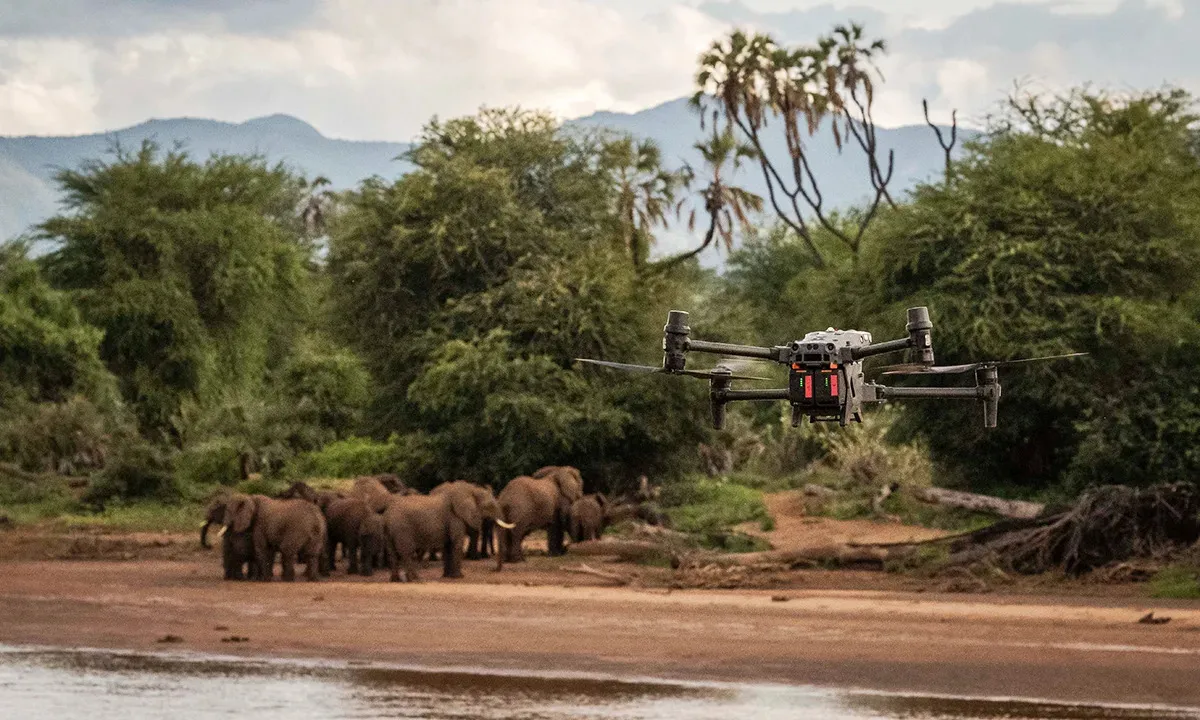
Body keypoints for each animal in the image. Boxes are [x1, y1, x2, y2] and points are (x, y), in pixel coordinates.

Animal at [383, 491, 512, 582]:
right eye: (490, 505)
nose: (493, 570)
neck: (472, 491)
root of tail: (387, 515)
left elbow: (448, 546)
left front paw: (447, 576)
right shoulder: (455, 518)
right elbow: (457, 544)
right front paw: (459, 577)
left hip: (390, 531)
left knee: (392, 553)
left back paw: (395, 580)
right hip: (403, 529)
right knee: (407, 553)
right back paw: (415, 579)